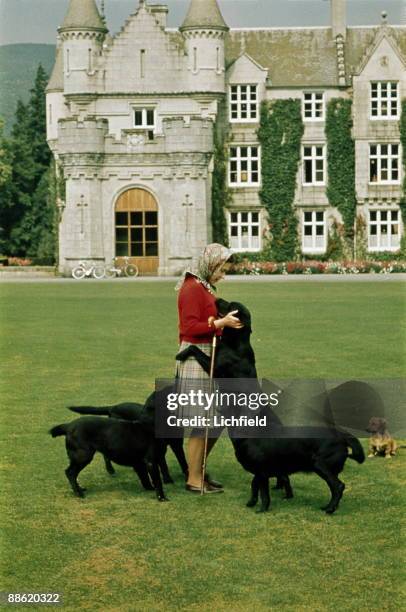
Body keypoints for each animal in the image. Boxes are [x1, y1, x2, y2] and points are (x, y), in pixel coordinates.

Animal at [176, 298, 366, 512]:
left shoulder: (215, 366)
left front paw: (181, 354)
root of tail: (342, 436)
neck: (235, 342)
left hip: (320, 464)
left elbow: (195, 349)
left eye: (231, 305)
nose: (216, 299)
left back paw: (328, 508)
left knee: (336, 486)